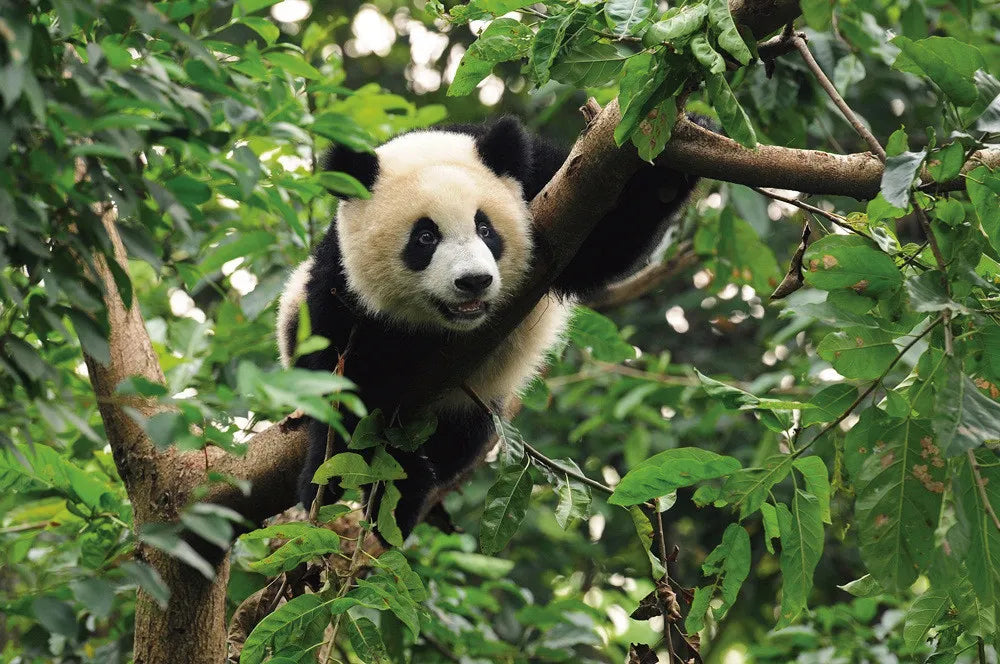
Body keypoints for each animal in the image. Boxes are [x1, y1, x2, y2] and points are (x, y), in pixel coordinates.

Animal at [277, 116, 700, 541]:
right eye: (425, 237)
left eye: (485, 228)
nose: (473, 281)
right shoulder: (341, 286)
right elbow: (346, 385)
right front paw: (345, 479)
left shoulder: (546, 185)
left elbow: (603, 244)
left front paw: (674, 159)